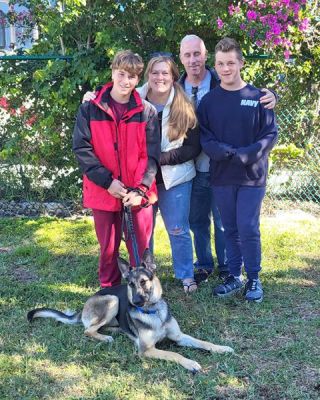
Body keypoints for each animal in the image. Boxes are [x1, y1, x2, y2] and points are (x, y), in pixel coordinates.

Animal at [26, 250, 232, 372]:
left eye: (143, 281)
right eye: (130, 284)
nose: (137, 301)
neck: (153, 312)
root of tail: (85, 304)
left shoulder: (180, 337)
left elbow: (203, 342)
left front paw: (221, 348)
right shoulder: (146, 350)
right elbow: (175, 354)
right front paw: (190, 363)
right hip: (113, 300)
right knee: (88, 330)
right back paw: (105, 338)